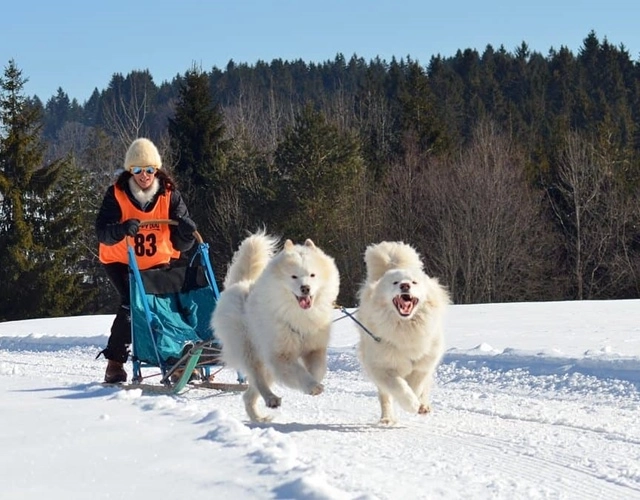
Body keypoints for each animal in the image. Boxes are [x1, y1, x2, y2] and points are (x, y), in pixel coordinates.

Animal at [210, 230, 340, 422]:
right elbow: (298, 371)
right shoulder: (280, 355)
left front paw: (313, 382)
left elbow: (317, 369)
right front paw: (312, 386)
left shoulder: (314, 348)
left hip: (266, 365)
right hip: (250, 350)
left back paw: (259, 417)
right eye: (294, 276)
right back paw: (271, 398)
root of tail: (238, 284)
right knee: (257, 379)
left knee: (248, 394)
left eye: (312, 275)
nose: (305, 288)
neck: (299, 314)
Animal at [356, 240, 450, 424]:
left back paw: (424, 406)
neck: (406, 327)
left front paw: (418, 403)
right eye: (395, 282)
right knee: (385, 397)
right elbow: (399, 387)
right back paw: (387, 419)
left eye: (414, 282)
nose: (404, 285)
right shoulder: (382, 366)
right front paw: (410, 404)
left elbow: (417, 384)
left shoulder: (424, 363)